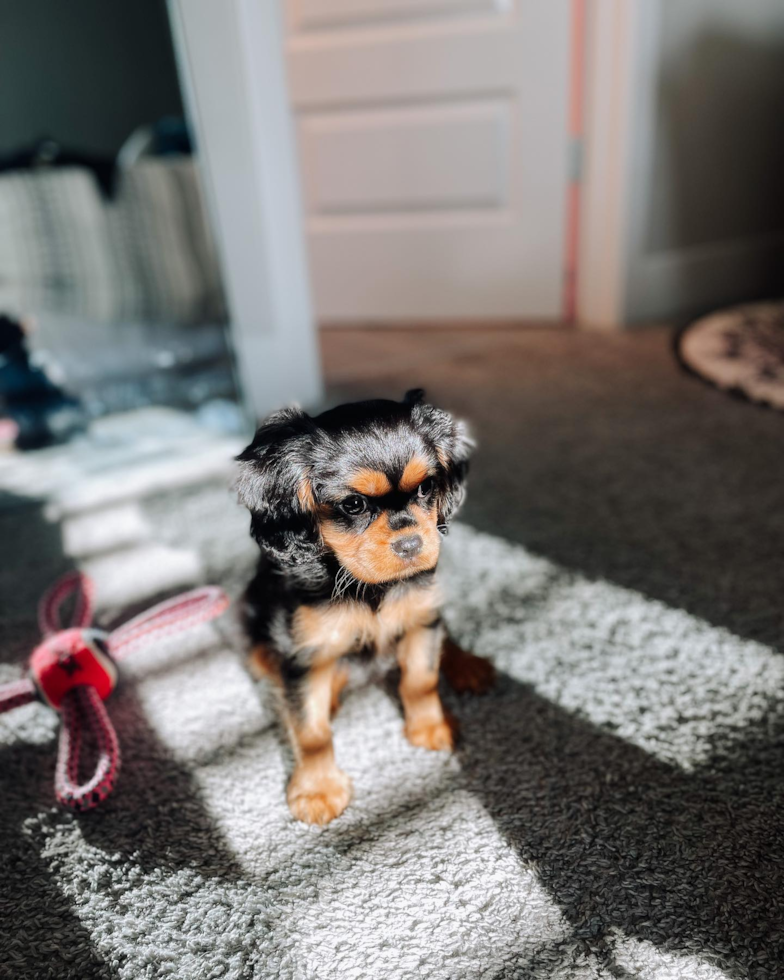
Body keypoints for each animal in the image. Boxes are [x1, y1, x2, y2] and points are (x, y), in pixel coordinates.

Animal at [236, 386, 494, 824]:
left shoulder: (420, 616)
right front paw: (317, 788)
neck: (369, 588)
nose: (411, 545)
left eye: (426, 488)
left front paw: (431, 728)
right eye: (353, 505)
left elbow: (420, 679)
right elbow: (310, 728)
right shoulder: (304, 652)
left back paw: (467, 665)